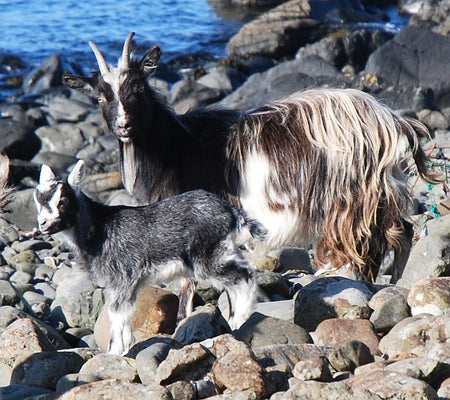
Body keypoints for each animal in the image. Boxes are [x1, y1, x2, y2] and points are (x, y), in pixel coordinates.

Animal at [35, 161, 266, 354]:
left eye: (62, 201)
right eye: (38, 200)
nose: (43, 224)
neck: (100, 228)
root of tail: (233, 213)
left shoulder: (125, 277)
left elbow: (116, 313)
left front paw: (114, 352)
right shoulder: (118, 285)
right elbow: (123, 313)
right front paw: (125, 347)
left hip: (207, 257)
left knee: (244, 275)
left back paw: (241, 320)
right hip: (222, 251)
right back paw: (234, 319)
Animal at [63, 32, 440, 282]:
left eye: (138, 88)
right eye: (100, 98)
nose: (123, 126)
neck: (178, 146)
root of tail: (392, 121)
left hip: (353, 197)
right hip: (381, 191)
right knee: (403, 230)